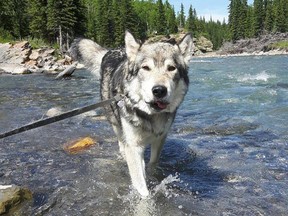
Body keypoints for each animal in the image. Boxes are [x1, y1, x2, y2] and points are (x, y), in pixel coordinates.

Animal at [69, 31, 194, 197]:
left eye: (171, 68)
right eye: (145, 68)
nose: (159, 90)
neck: (150, 116)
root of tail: (110, 51)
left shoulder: (160, 139)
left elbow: (153, 163)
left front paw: (151, 175)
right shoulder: (134, 147)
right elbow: (142, 188)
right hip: (115, 121)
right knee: (121, 141)